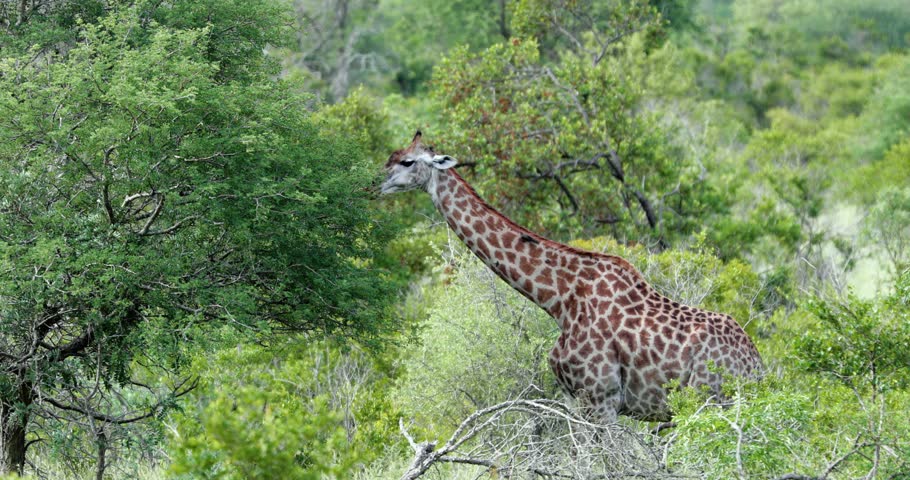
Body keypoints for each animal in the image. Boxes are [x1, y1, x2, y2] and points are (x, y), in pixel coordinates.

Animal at [381, 131, 763, 422]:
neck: (558, 300)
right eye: (392, 155)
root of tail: (758, 369)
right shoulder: (576, 400)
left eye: (407, 162)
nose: (376, 183)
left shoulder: (600, 399)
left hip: (710, 402)